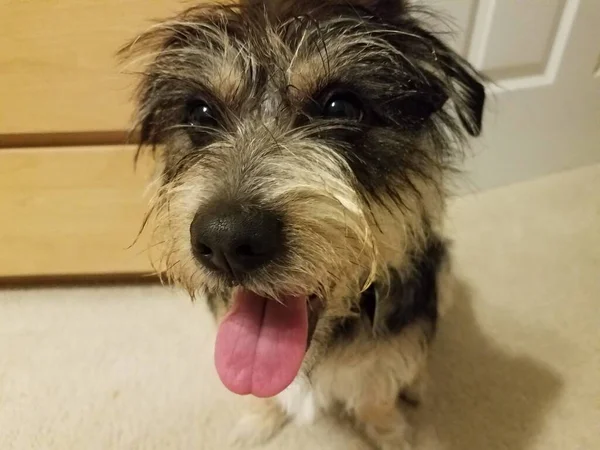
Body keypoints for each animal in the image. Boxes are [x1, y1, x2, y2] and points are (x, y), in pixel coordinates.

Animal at [119, 1, 486, 448]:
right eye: (200, 112)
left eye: (341, 108)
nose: (226, 241)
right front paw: (256, 422)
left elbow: (378, 389)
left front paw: (391, 432)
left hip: (443, 273)